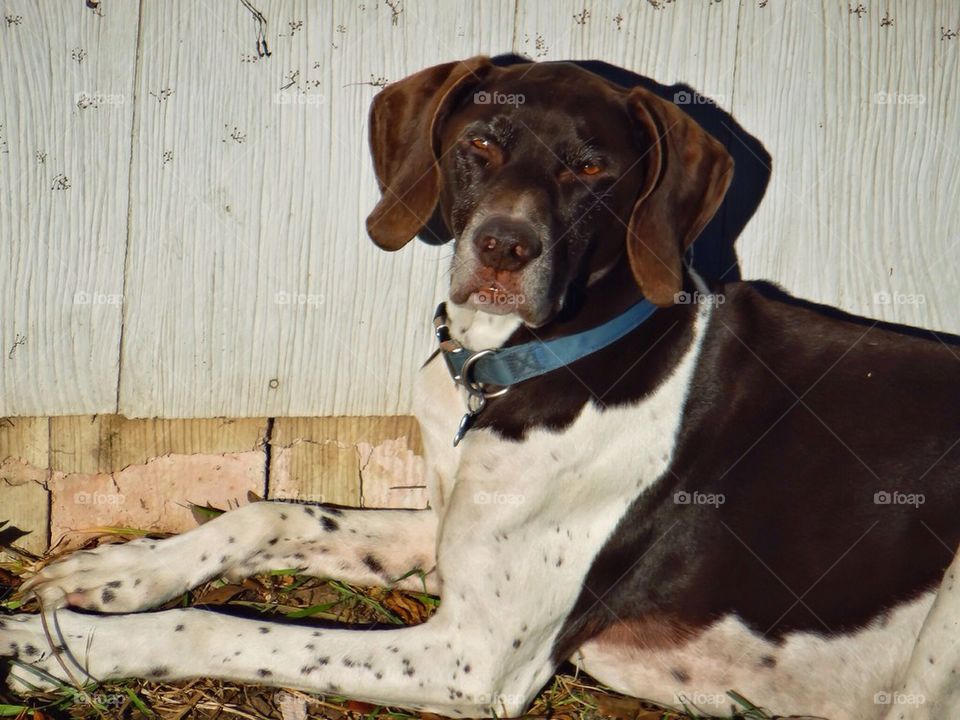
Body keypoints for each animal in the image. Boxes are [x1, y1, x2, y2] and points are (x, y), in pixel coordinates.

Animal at [5, 57, 960, 720]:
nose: (503, 249)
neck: (519, 367)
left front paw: (54, 648)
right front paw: (116, 570)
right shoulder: (446, 530)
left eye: (590, 170)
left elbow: (222, 626)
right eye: (480, 147)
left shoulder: (474, 660)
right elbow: (271, 512)